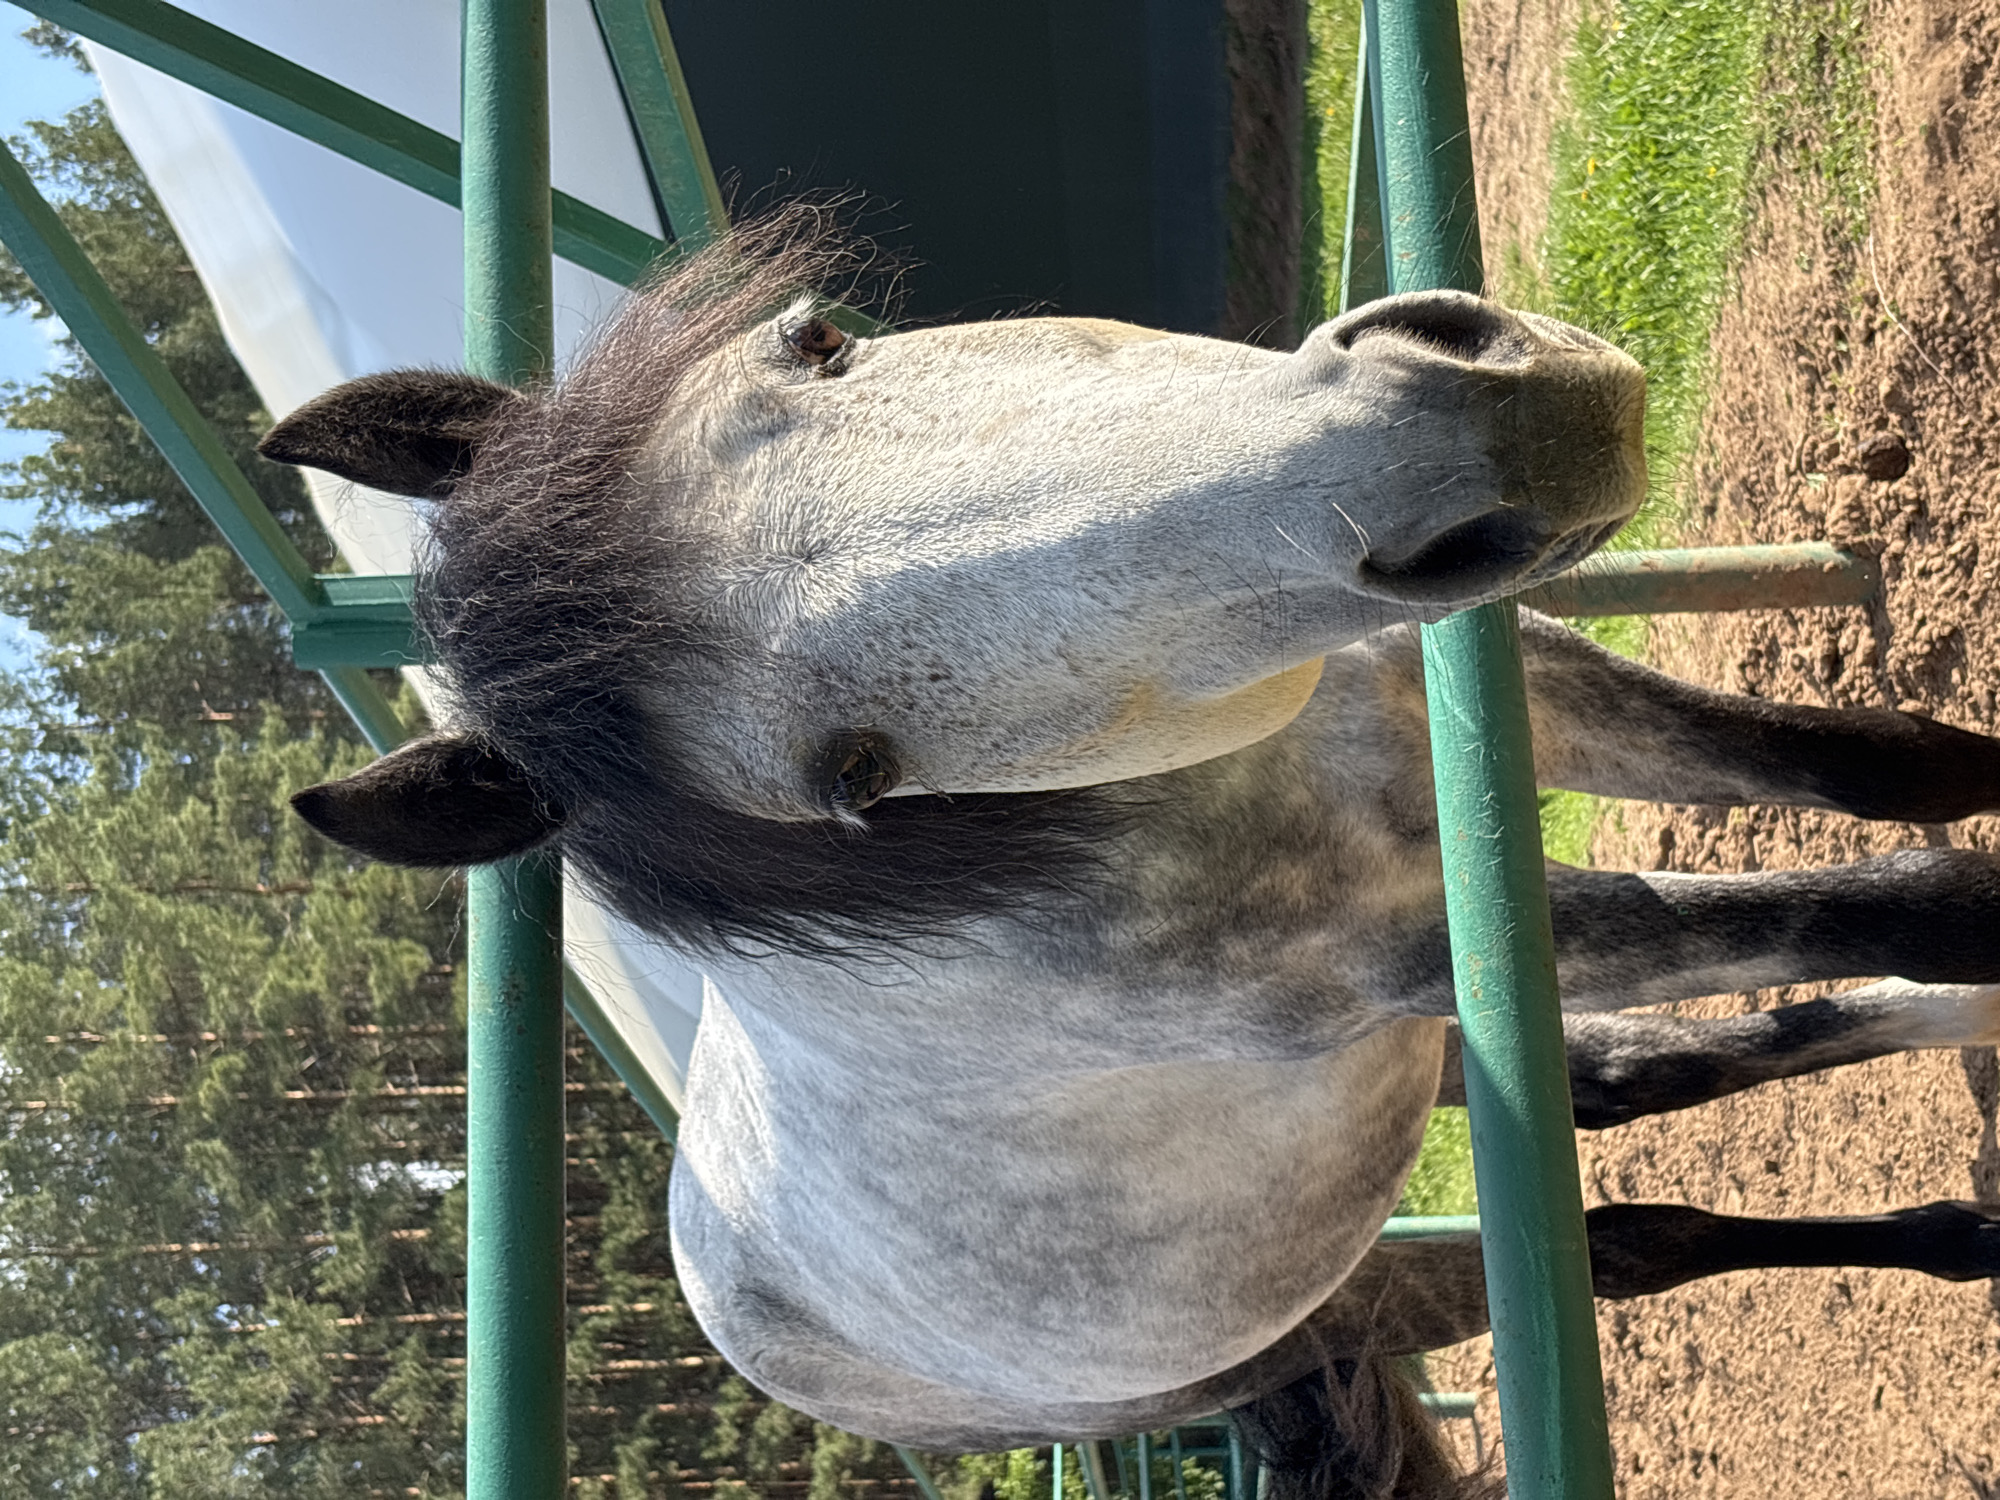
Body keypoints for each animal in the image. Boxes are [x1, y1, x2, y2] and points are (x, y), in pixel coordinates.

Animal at [259, 234, 2000, 1497]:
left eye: (818, 343)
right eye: (853, 776)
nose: (1473, 433)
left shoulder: (1498, 695)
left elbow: (1880, 773)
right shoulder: (1407, 950)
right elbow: (1891, 903)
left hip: (1415, 1075)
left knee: (1659, 1084)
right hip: (1325, 1290)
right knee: (1641, 1238)